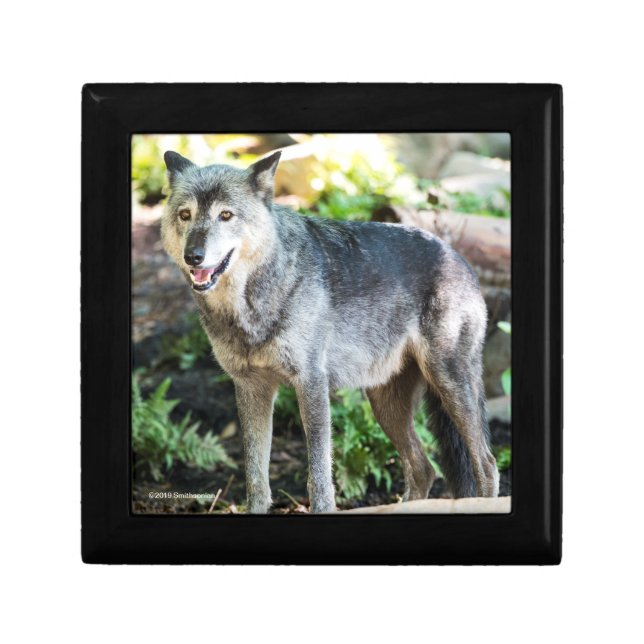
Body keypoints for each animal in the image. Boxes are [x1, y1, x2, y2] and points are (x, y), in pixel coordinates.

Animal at [161, 149, 499, 513]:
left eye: (225, 215)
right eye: (185, 215)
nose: (193, 256)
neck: (253, 305)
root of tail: (459, 258)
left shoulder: (311, 382)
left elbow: (319, 476)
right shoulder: (251, 388)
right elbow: (256, 479)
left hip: (449, 384)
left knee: (487, 464)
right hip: (386, 404)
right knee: (424, 469)